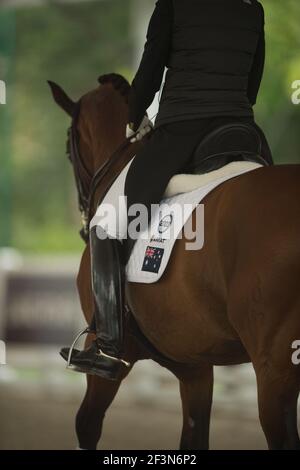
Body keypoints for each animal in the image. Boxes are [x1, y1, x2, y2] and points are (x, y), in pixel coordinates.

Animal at [48, 71, 298, 450]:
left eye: (67, 146)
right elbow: (193, 437)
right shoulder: (195, 367)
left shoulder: (111, 358)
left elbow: (87, 424)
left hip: (275, 372)